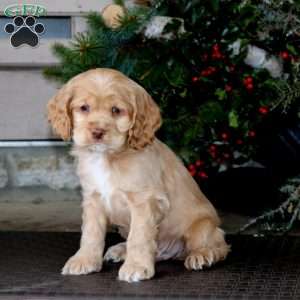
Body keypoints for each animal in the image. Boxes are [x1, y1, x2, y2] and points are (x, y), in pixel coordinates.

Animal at [47, 68, 230, 282]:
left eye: (116, 110)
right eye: (84, 108)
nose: (98, 132)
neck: (108, 156)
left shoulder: (145, 201)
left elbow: (139, 236)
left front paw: (136, 266)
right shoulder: (93, 199)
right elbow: (91, 233)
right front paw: (85, 260)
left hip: (202, 227)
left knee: (219, 246)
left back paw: (201, 255)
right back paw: (120, 250)